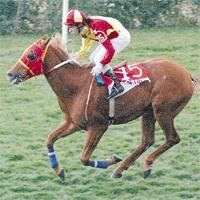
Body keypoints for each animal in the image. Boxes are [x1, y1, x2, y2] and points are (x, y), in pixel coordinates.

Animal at [6, 33, 200, 180]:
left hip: (163, 110)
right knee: (147, 140)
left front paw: (111, 160)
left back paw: (143, 165)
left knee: (172, 138)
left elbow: (84, 158)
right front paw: (59, 171)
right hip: (148, 112)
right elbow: (49, 139)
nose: (10, 74)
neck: (76, 85)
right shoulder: (73, 123)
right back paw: (121, 170)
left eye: (31, 55)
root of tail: (186, 73)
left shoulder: (98, 126)